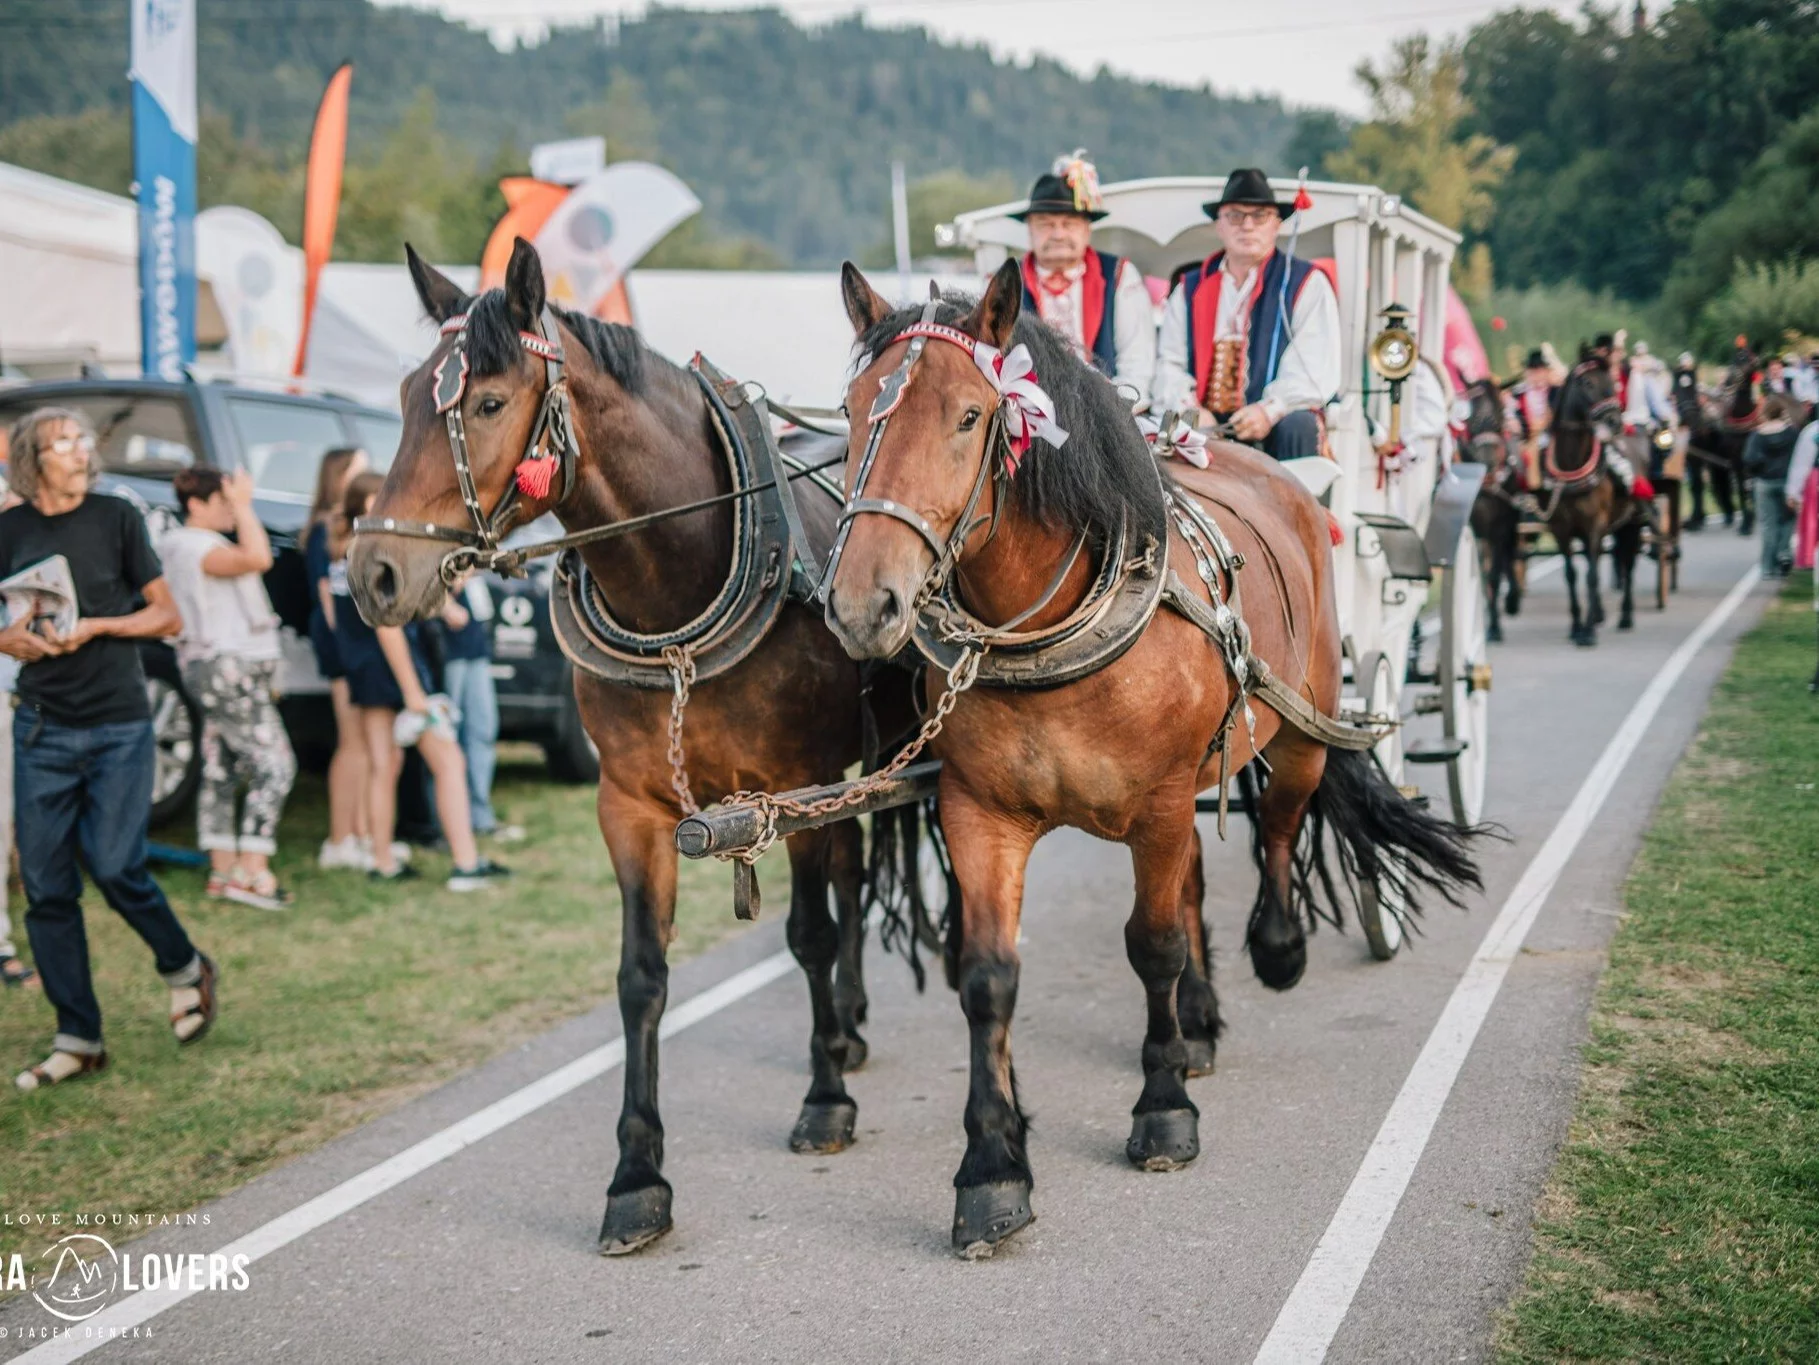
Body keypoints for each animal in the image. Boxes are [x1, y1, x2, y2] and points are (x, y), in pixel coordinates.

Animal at [347, 243, 916, 1259]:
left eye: (487, 402)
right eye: (410, 393)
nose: (373, 572)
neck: (679, 589)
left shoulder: (794, 786)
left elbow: (807, 935)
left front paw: (822, 1101)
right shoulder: (631, 808)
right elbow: (639, 980)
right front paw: (637, 1178)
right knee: (854, 869)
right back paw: (847, 1024)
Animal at [829, 262, 1491, 1259]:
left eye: (970, 415)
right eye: (851, 405)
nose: (861, 603)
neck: (1050, 621)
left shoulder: (1161, 800)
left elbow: (1152, 944)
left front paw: (1163, 1108)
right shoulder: (981, 811)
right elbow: (988, 977)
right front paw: (992, 1170)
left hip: (1300, 725)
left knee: (1280, 825)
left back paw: (1274, 950)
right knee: (1195, 884)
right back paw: (1201, 1018)